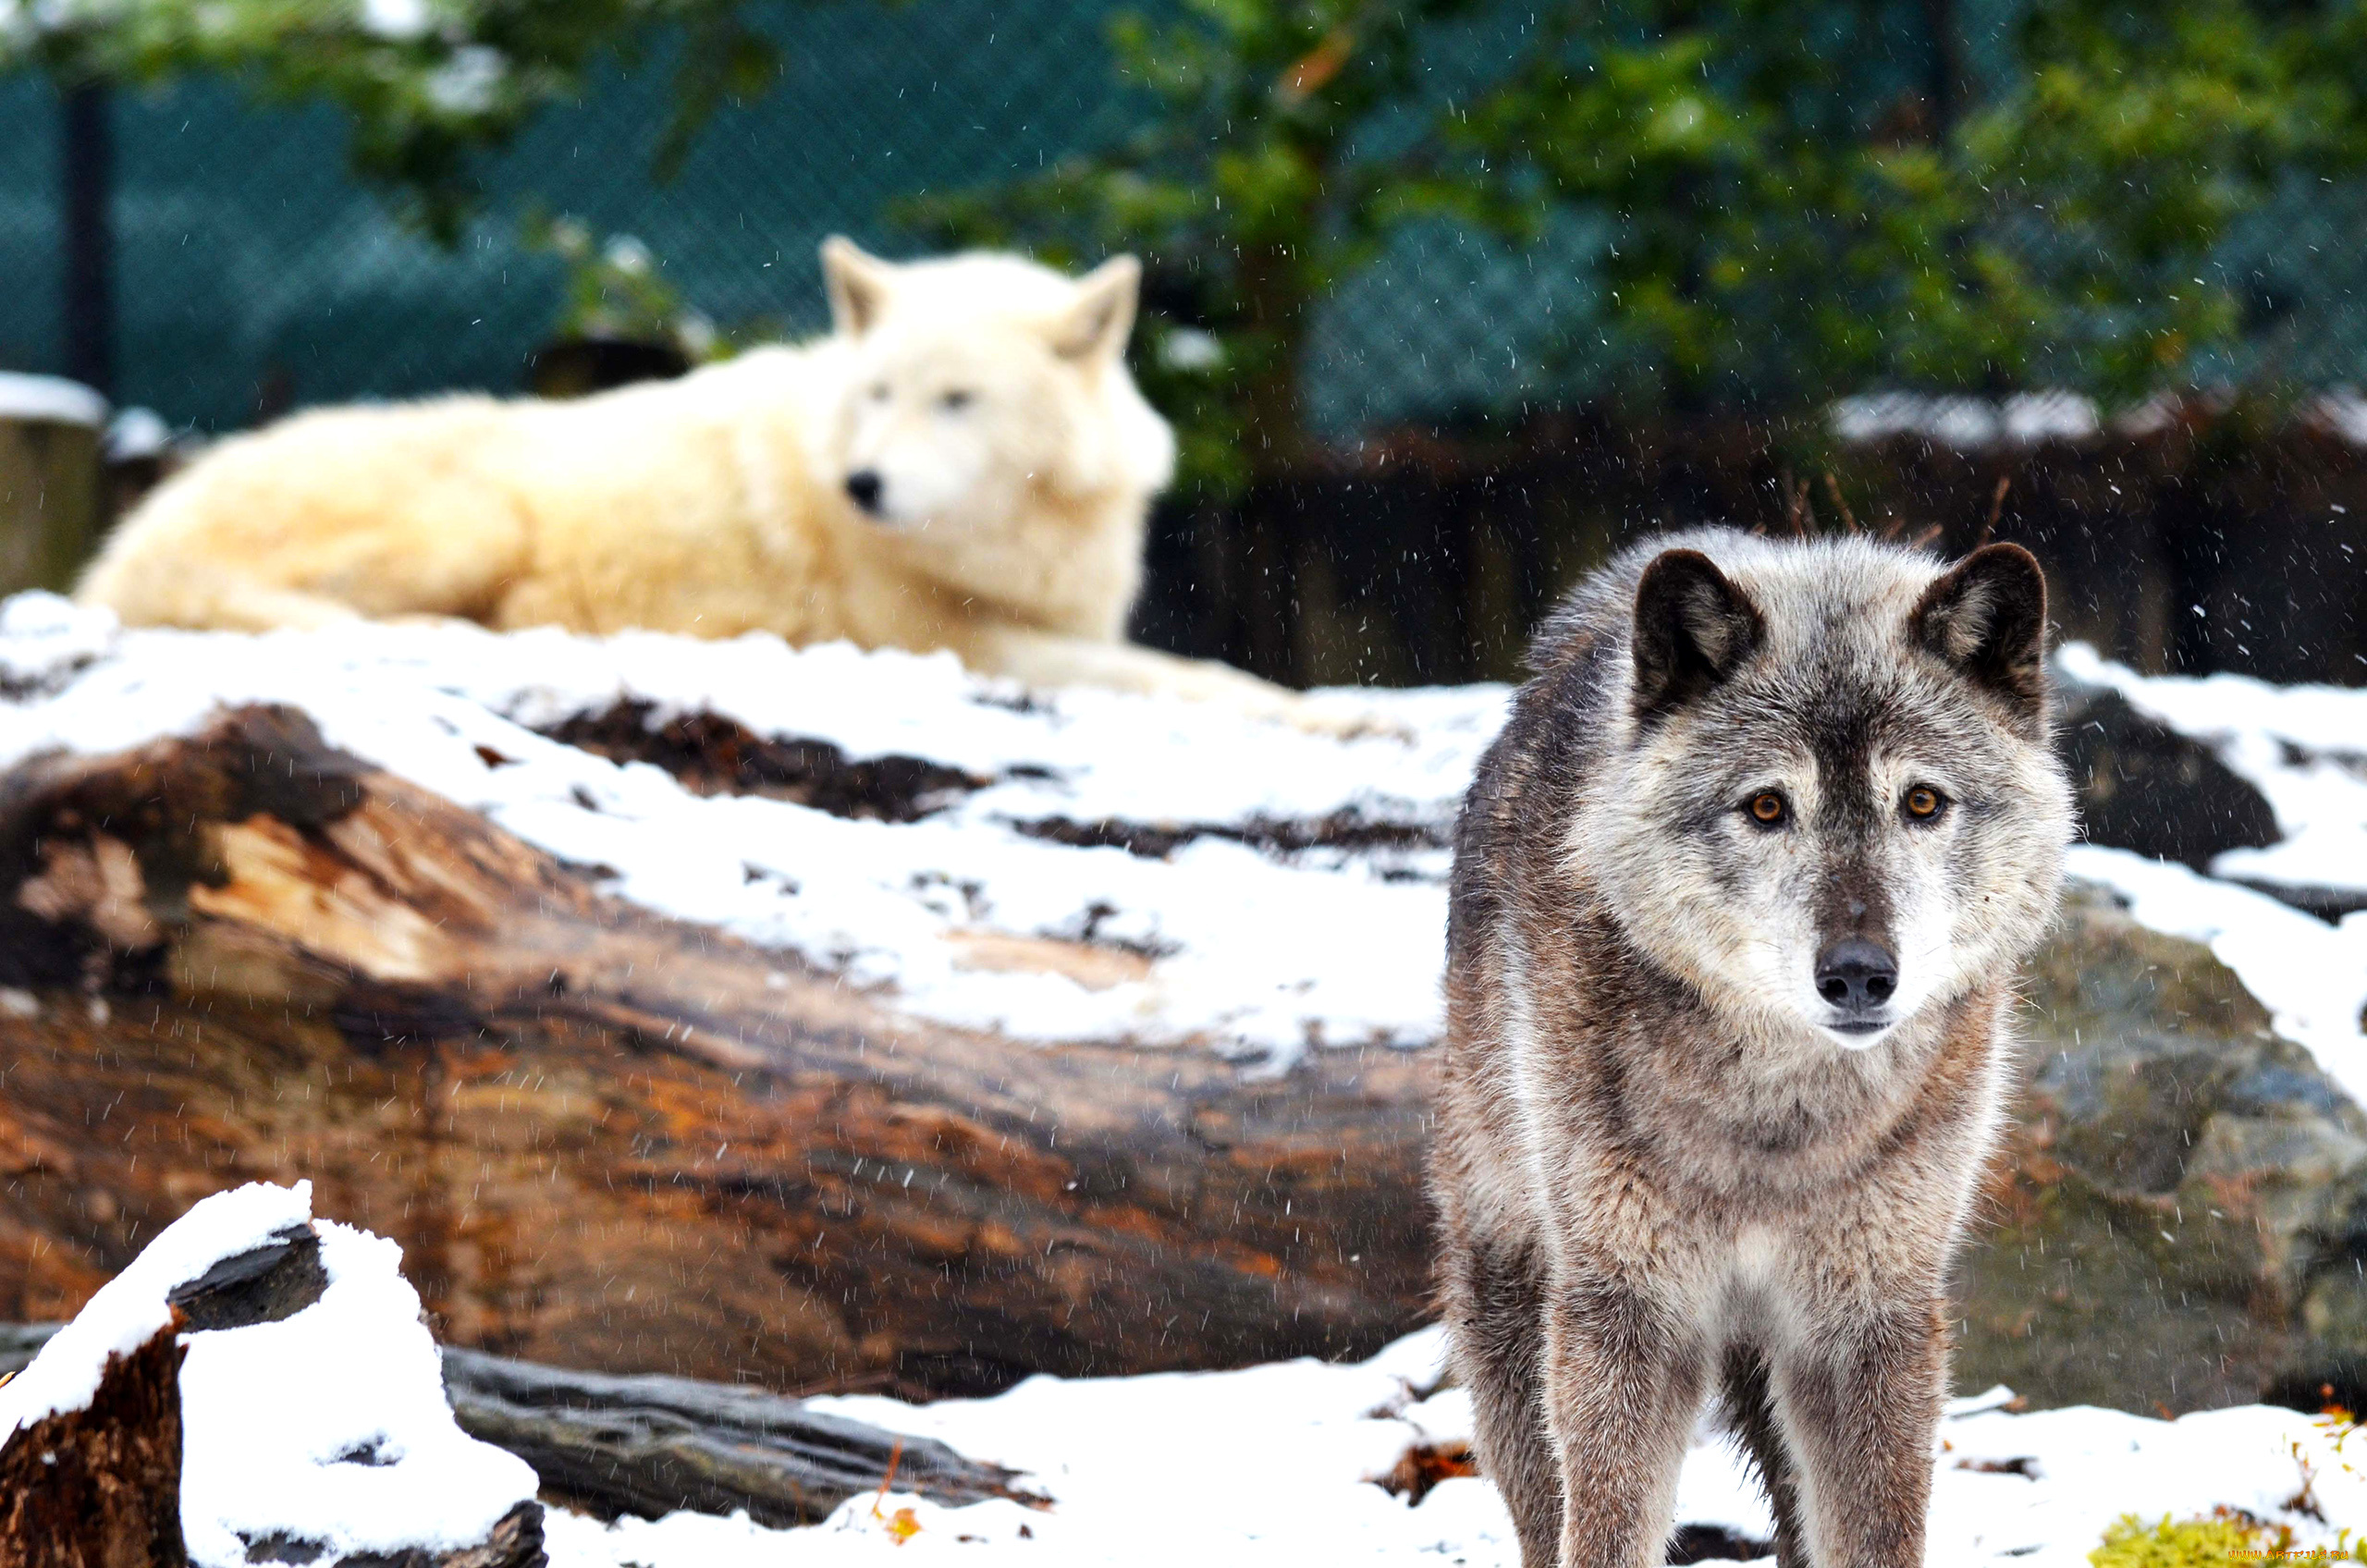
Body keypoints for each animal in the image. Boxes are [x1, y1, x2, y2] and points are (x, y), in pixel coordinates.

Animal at [74, 241, 1334, 729]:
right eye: (879, 392)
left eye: (956, 401)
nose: (864, 484)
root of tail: (115, 550)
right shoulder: (953, 640)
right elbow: (1198, 675)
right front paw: (1339, 715)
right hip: (471, 518)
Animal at [1420, 530, 2073, 1568]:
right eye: (1768, 808)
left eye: (1923, 802)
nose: (1858, 974)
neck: (1774, 1125)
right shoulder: (1628, 1312)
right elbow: (1606, 1528)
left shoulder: (1867, 1324)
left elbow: (1876, 1534)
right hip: (1511, 1284)